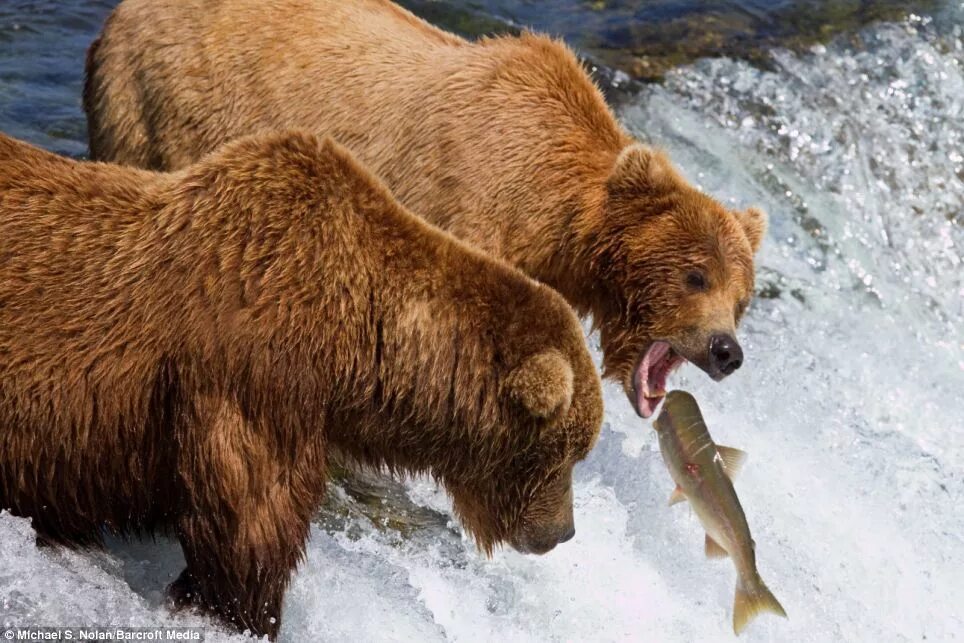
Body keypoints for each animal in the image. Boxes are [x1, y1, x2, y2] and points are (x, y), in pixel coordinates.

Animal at [86, 0, 772, 420]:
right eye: (696, 275)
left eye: (741, 300)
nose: (726, 351)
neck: (554, 215)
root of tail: (120, 12)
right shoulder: (468, 198)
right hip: (158, 103)